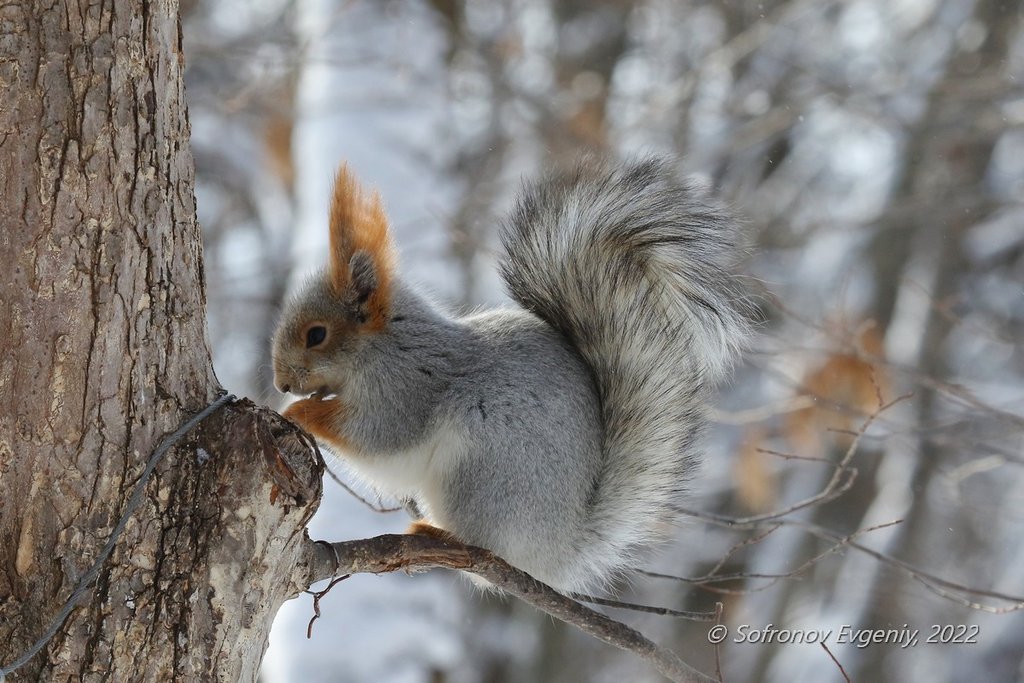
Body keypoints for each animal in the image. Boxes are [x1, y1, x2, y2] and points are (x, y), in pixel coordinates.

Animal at [272, 156, 753, 593]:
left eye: (317, 334)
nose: (281, 382)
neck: (386, 342)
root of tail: (558, 553)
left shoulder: (408, 385)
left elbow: (377, 436)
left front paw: (299, 412)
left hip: (482, 470)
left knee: (482, 546)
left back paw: (439, 534)